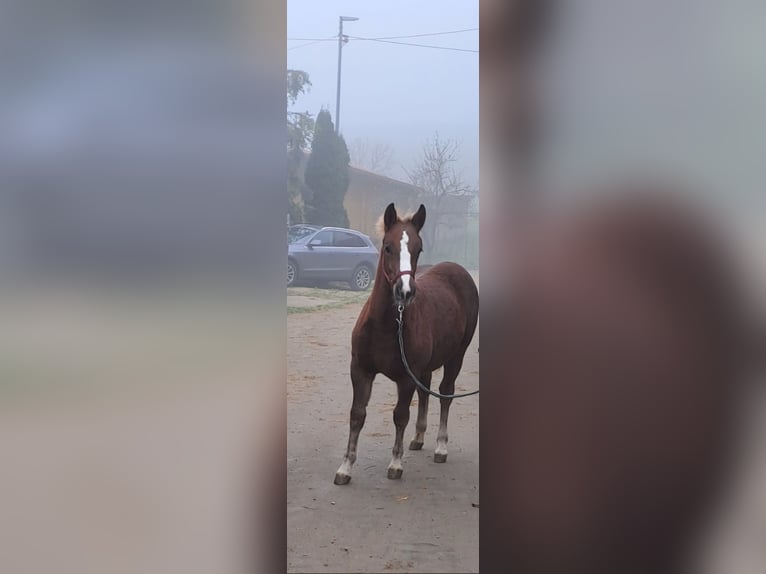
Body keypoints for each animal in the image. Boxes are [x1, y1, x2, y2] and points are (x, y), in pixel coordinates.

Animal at [336, 202, 480, 486]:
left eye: (418, 249)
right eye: (387, 246)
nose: (405, 292)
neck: (386, 325)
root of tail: (459, 270)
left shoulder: (405, 377)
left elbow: (400, 415)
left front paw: (395, 463)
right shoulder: (360, 370)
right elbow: (357, 414)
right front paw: (345, 467)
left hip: (456, 356)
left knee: (445, 393)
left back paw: (440, 446)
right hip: (425, 367)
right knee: (426, 392)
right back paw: (419, 437)